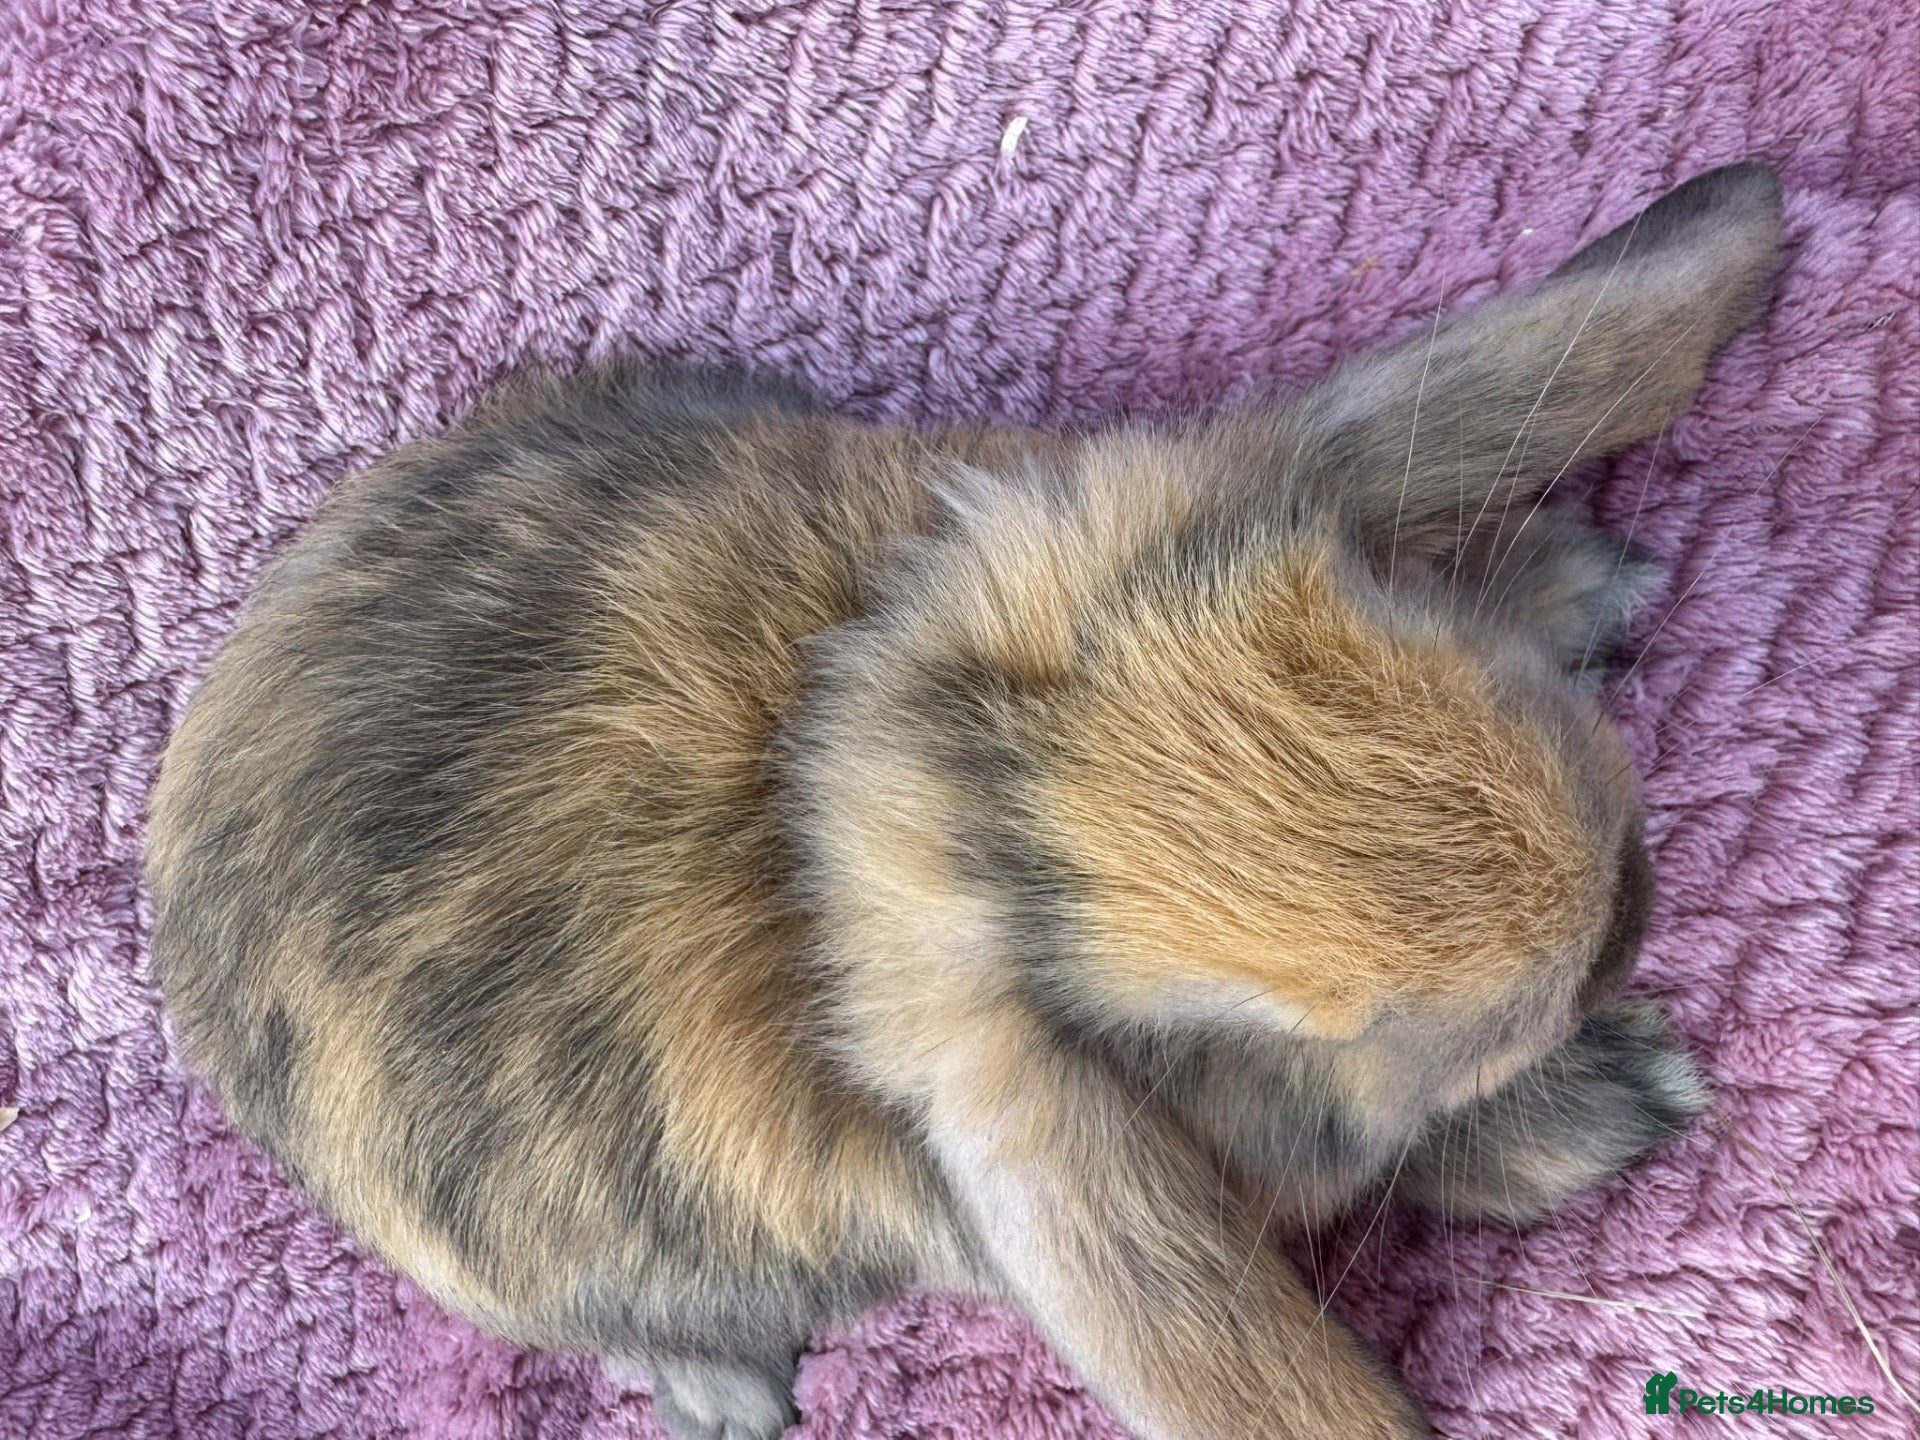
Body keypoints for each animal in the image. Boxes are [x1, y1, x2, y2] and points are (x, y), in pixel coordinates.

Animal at [146, 161, 1782, 1440]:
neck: (834, 789)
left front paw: (1583, 586)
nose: (1623, 899)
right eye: (1281, 1031)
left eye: (1365, 602)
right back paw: (730, 1395)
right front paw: (1627, 1099)